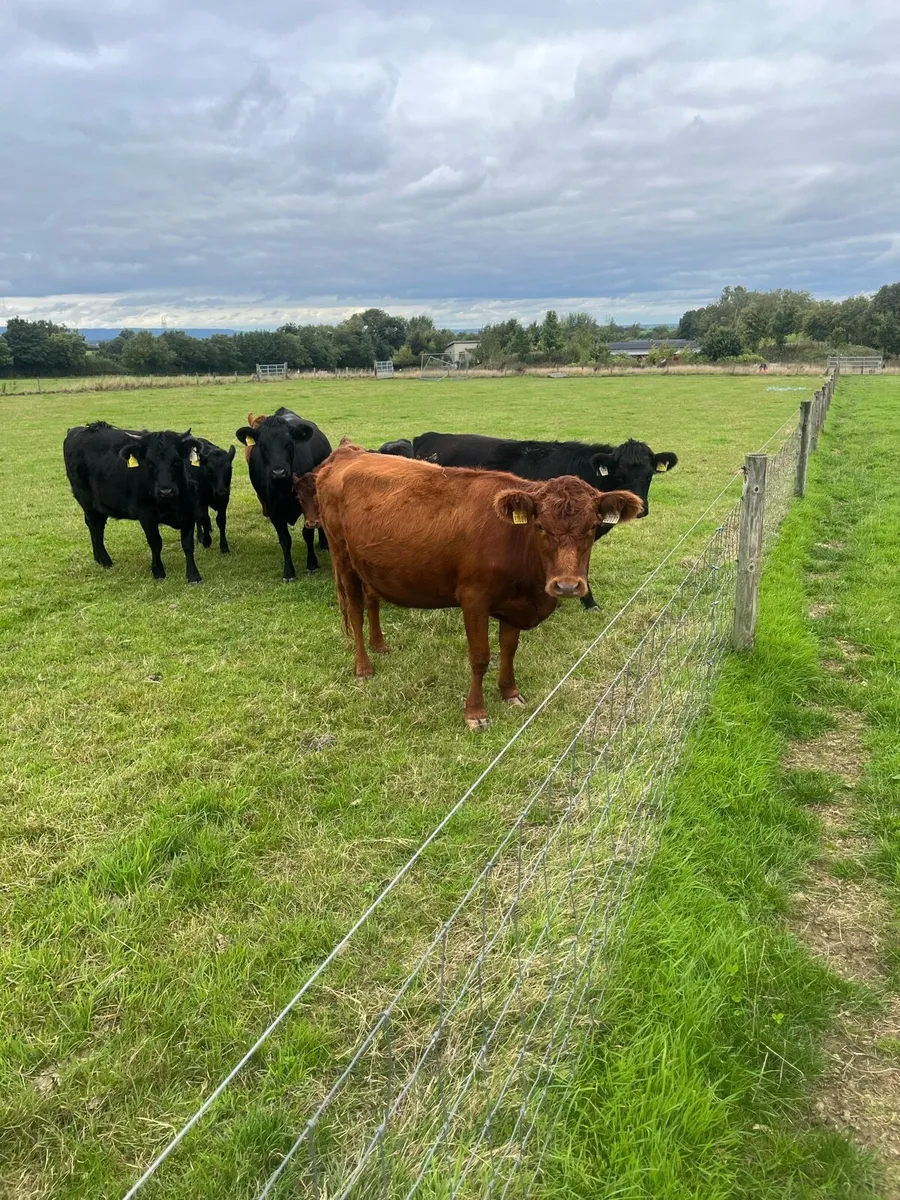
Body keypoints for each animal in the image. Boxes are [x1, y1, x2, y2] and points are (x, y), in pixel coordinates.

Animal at [63, 420, 204, 583]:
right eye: (150, 463)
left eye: (176, 461)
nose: (165, 491)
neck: (171, 503)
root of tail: (79, 429)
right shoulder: (146, 515)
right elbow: (155, 543)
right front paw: (158, 572)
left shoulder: (189, 513)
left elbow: (187, 545)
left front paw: (193, 575)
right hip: (86, 500)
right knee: (94, 526)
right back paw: (105, 560)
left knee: (98, 526)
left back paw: (100, 559)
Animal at [235, 407, 331, 581]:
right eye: (263, 445)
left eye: (289, 443)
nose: (278, 472)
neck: (283, 488)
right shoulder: (273, 511)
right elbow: (285, 540)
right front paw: (288, 572)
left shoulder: (308, 504)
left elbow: (308, 533)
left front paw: (312, 564)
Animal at [302, 441, 643, 730]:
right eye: (541, 527)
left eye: (592, 528)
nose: (568, 585)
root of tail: (347, 453)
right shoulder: (474, 599)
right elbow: (480, 657)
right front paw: (475, 713)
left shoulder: (514, 603)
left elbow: (509, 649)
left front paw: (509, 691)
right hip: (342, 557)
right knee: (356, 611)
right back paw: (363, 667)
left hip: (369, 565)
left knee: (372, 601)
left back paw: (380, 645)